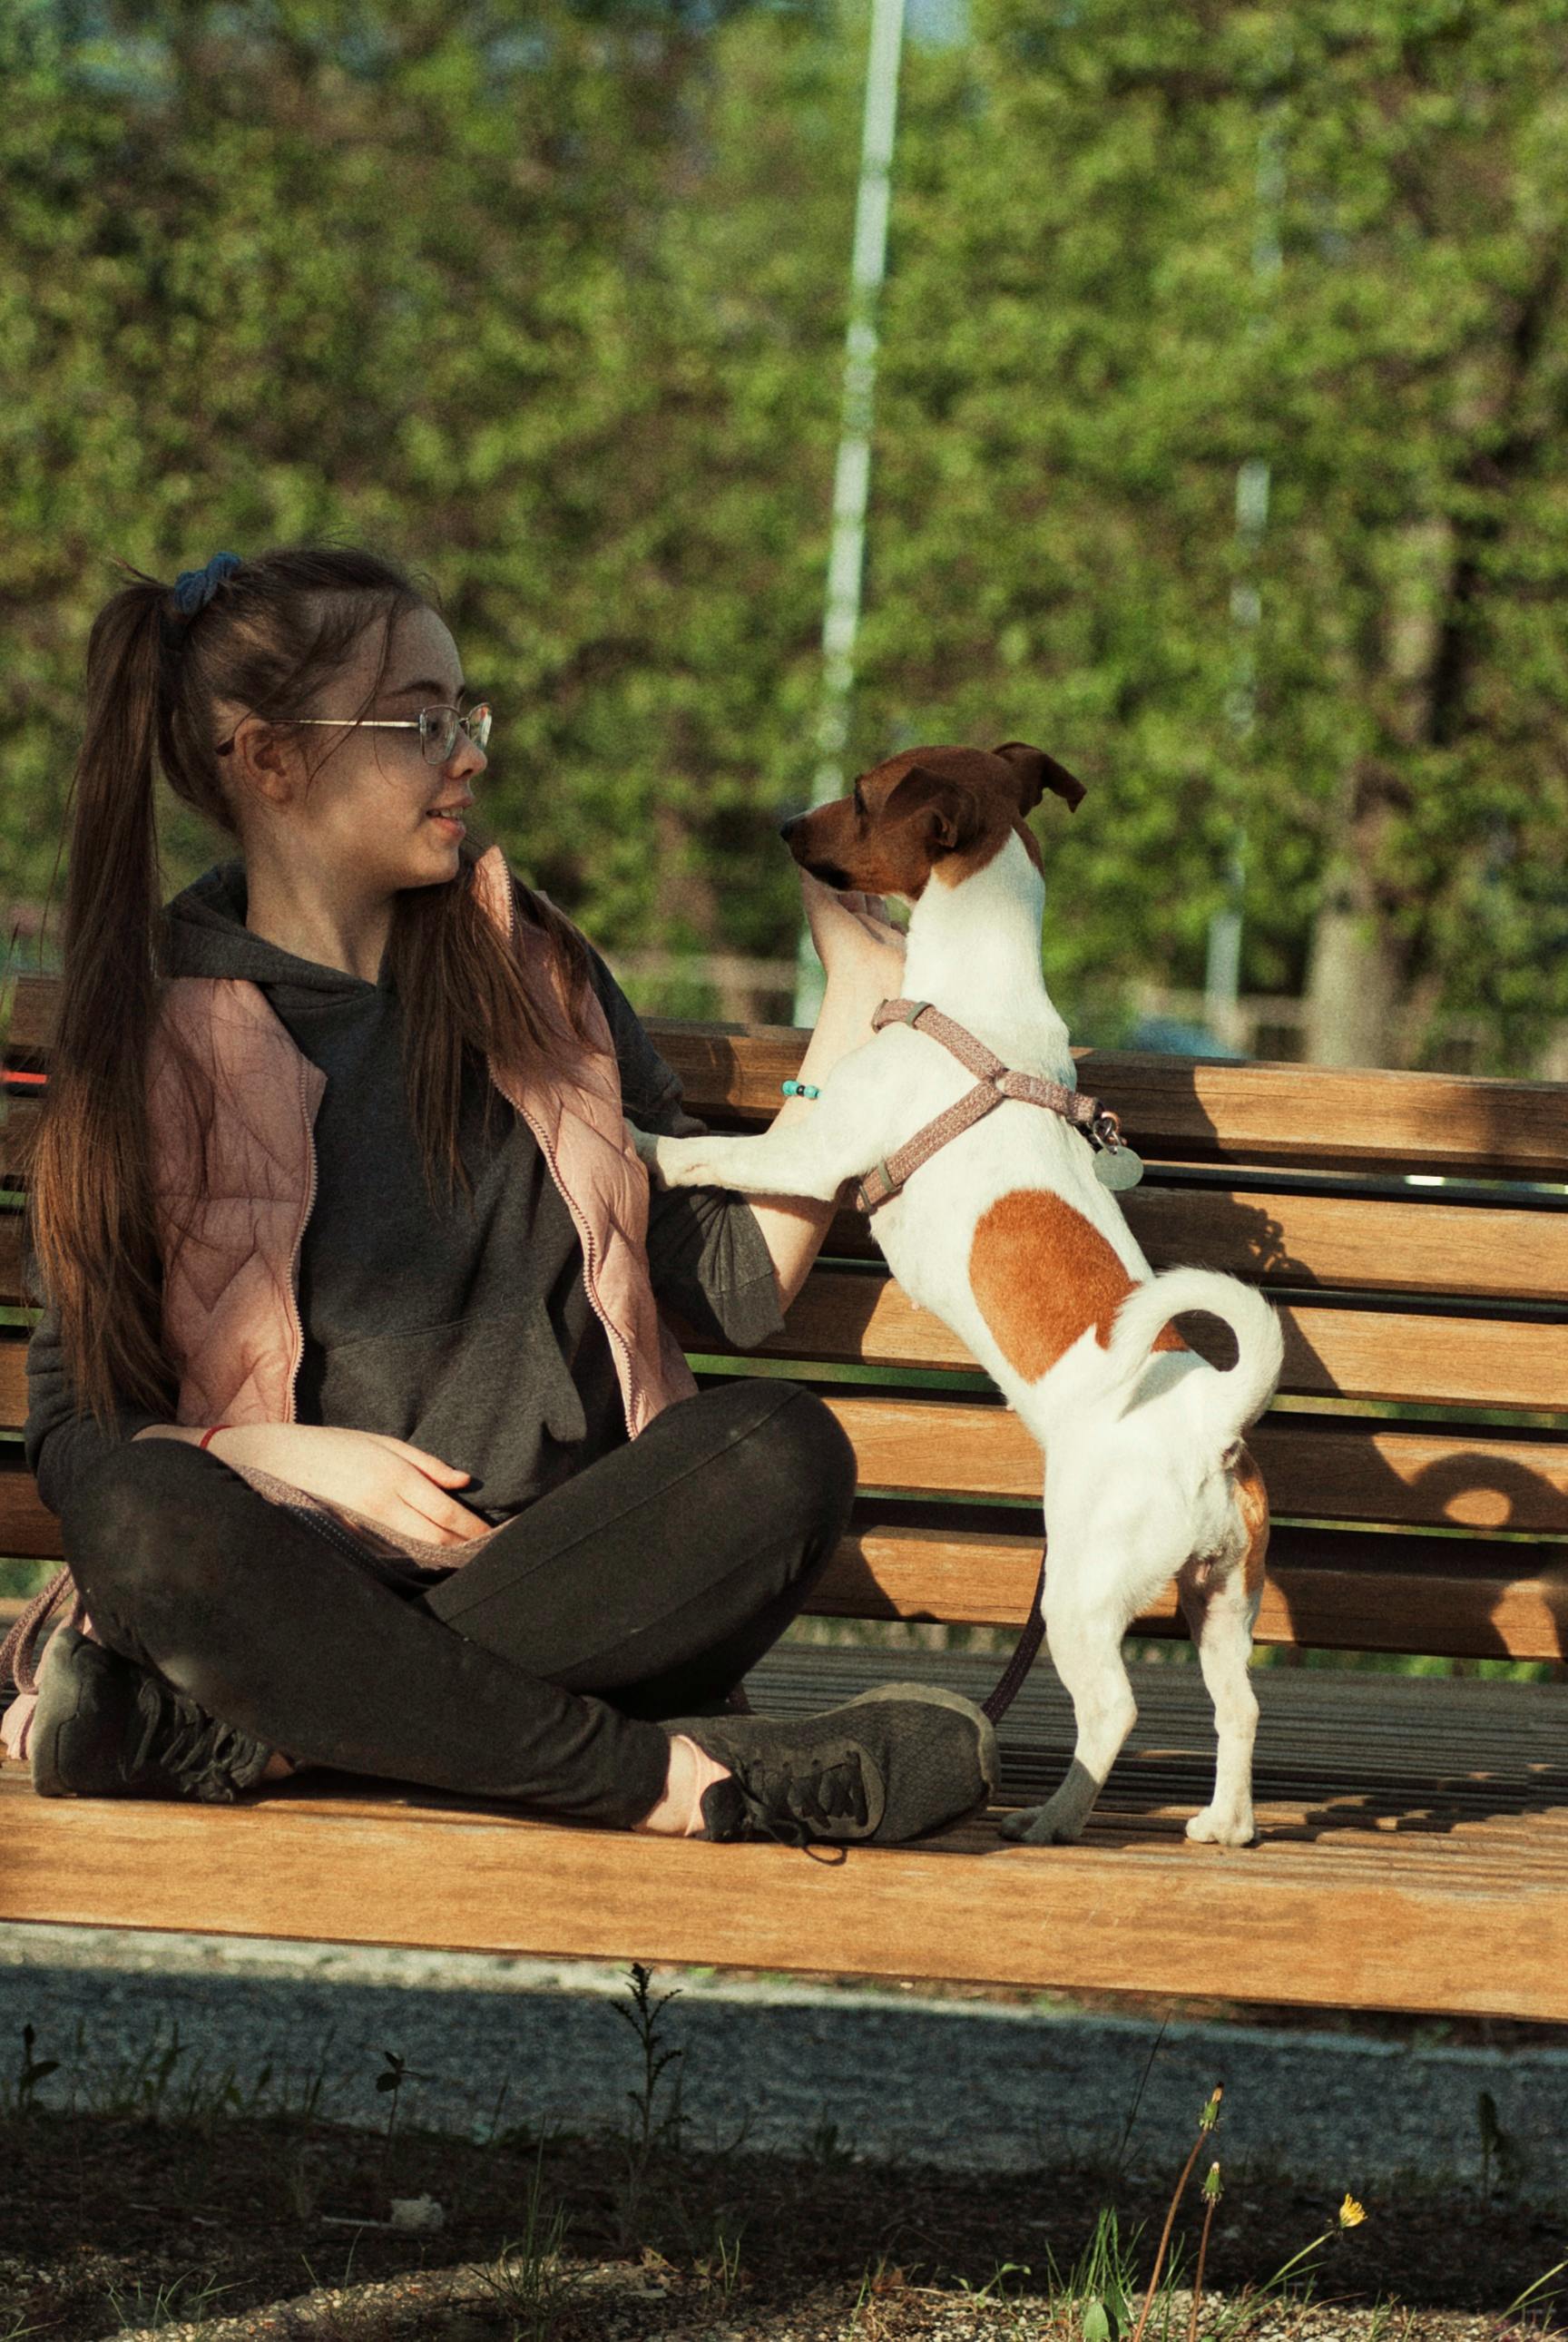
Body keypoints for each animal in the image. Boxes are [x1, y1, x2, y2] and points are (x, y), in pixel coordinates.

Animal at [636, 749, 1291, 1845]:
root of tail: (1211, 1418)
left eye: (861, 793)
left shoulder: (809, 1155)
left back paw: (1054, 1816)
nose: (783, 825)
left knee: (1112, 1710)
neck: (976, 999)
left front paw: (643, 1143)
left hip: (1081, 1593)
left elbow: (713, 1153)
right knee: (1238, 1703)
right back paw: (1223, 1823)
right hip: (1222, 1597)